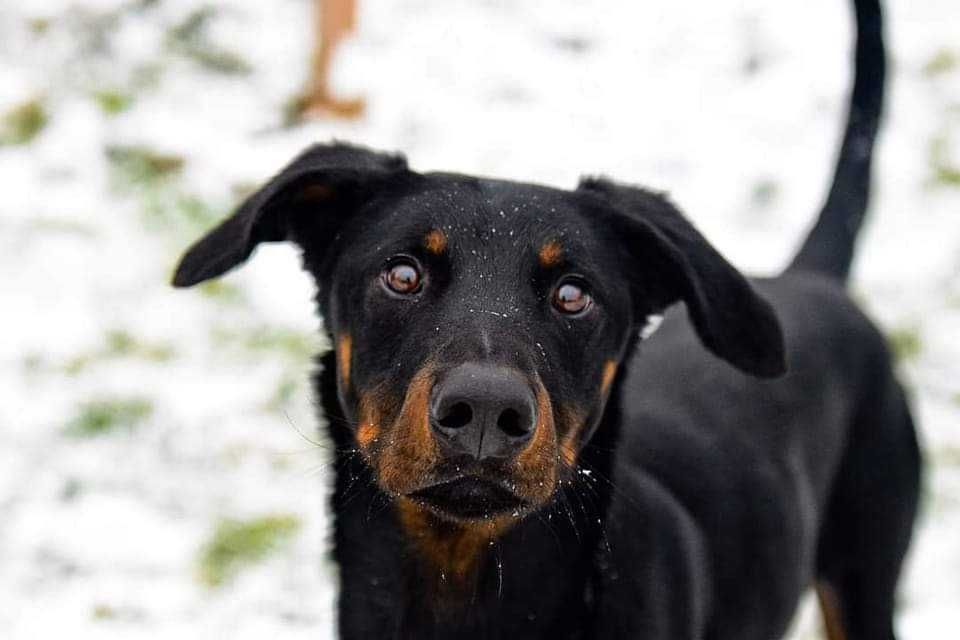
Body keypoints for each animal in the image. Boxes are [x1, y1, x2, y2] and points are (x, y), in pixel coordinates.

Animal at [174, 0, 924, 636]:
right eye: (402, 275)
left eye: (574, 295)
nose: (484, 409)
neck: (460, 591)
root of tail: (812, 279)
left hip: (868, 564)